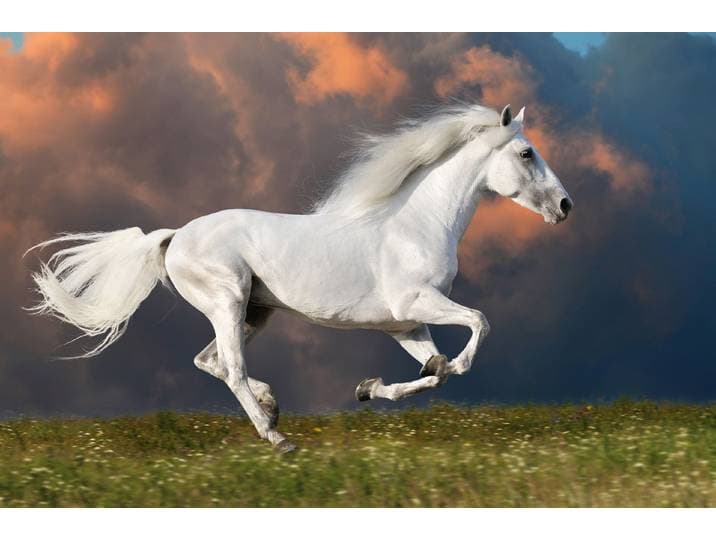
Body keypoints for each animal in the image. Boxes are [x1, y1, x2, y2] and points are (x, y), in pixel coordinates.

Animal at [26, 103, 573, 453]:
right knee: (231, 367)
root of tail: (175, 236)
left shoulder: (403, 324)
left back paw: (271, 407)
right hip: (228, 302)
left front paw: (370, 388)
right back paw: (277, 437)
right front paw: (438, 367)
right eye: (527, 153)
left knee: (210, 361)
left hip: (254, 312)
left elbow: (432, 370)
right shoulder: (417, 303)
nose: (565, 206)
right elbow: (476, 327)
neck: (415, 223)